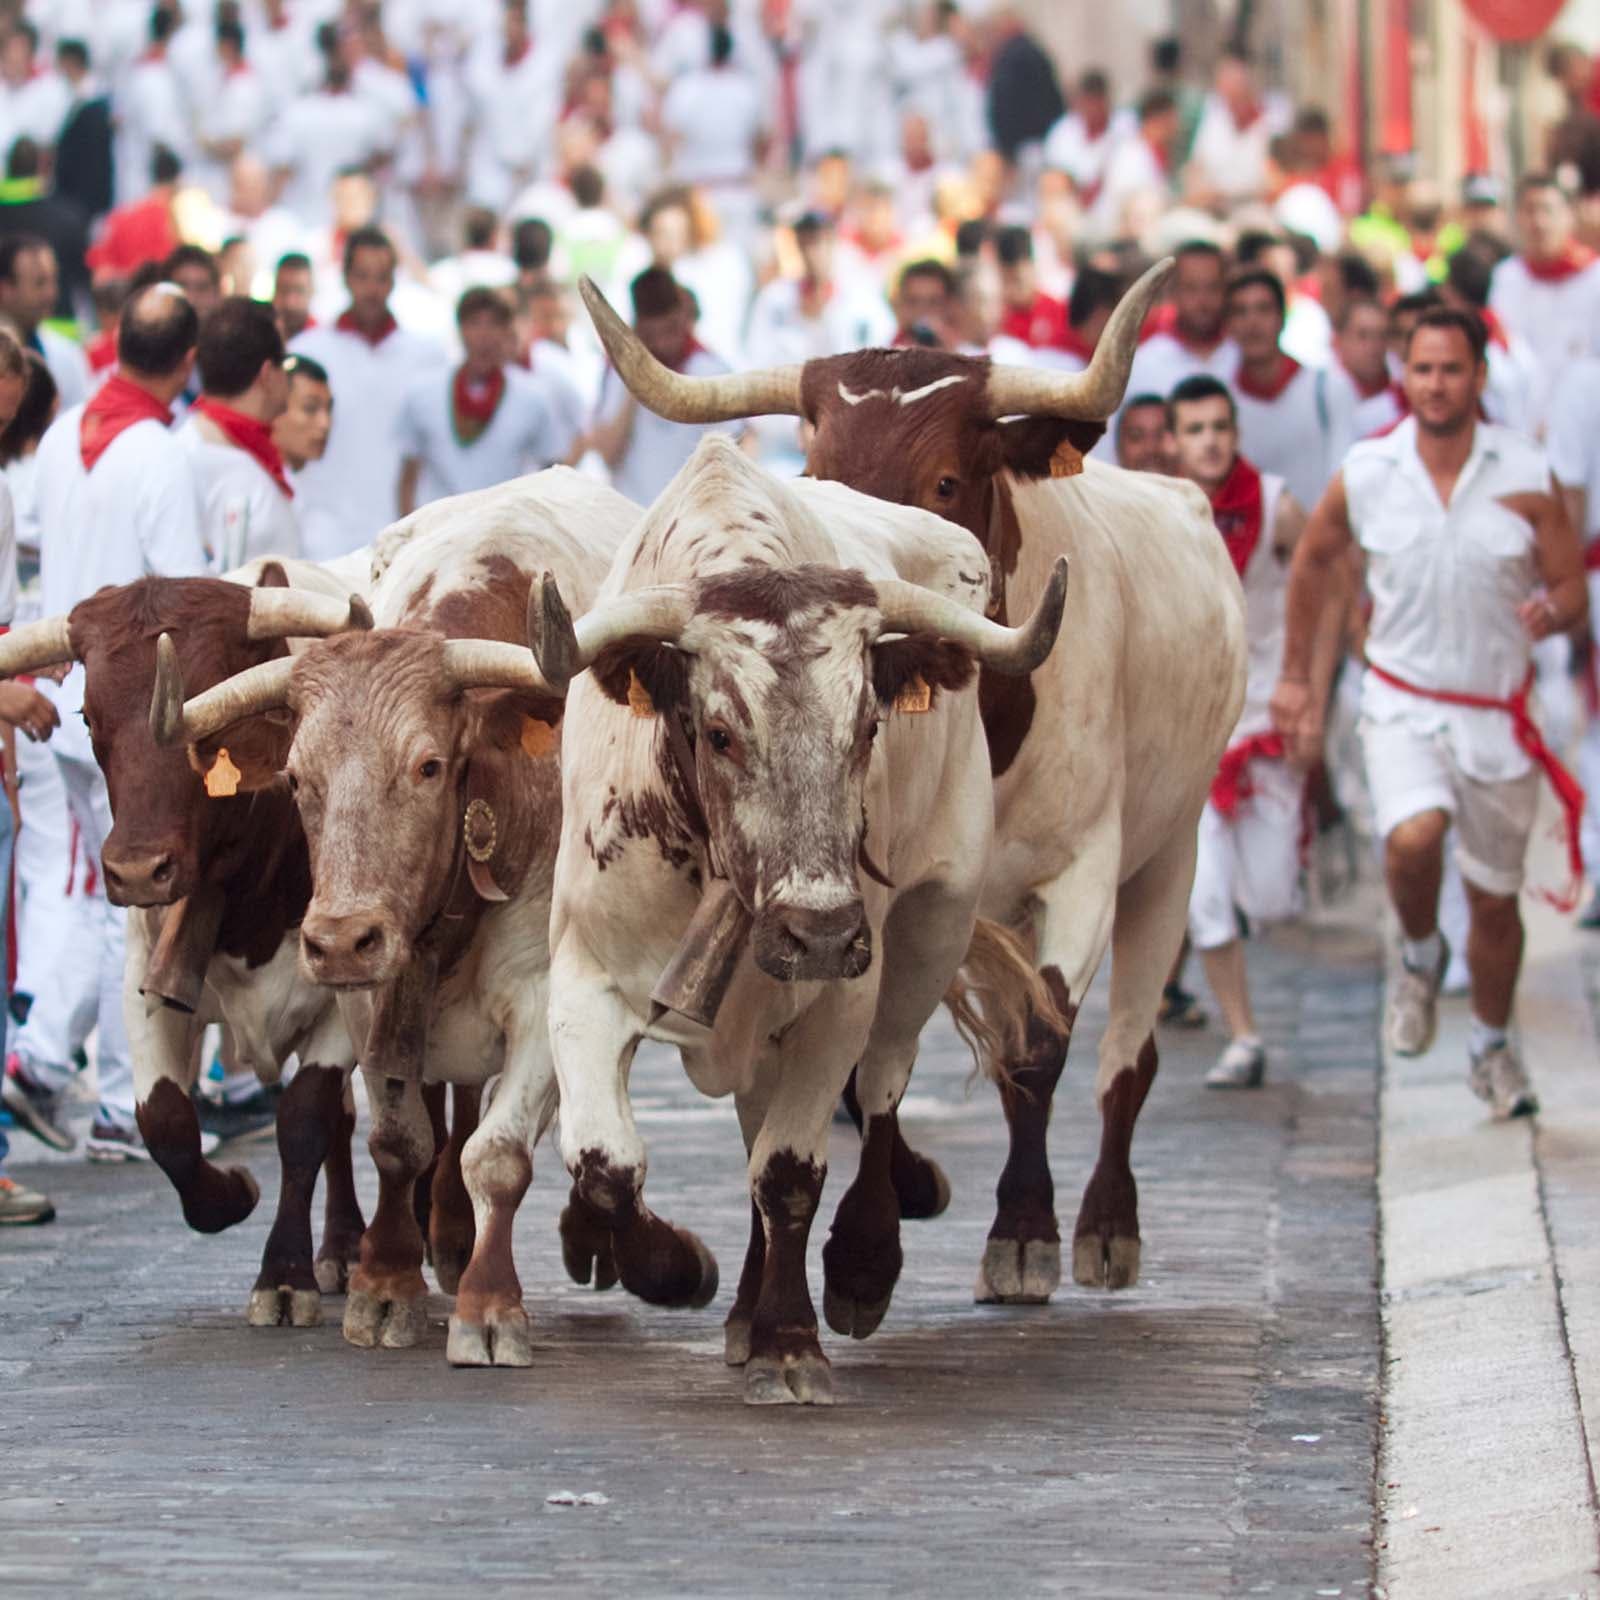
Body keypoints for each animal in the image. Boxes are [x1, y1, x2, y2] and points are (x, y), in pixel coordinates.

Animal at [0, 564, 374, 1328]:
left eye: (216, 722)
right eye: (88, 716)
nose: (138, 869)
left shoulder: (341, 995)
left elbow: (304, 1119)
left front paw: (283, 1274)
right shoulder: (146, 981)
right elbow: (165, 1121)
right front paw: (230, 1193)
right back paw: (345, 1244)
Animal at [152, 471, 645, 1363]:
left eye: (428, 766)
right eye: (297, 777)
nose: (340, 939)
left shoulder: (543, 1000)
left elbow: (499, 1155)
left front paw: (489, 1305)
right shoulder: (364, 1001)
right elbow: (397, 1138)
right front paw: (384, 1284)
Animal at [523, 436, 1067, 1403]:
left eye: (867, 728)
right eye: (720, 733)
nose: (817, 933)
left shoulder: (838, 1001)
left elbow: (788, 1173)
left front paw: (788, 1339)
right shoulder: (584, 982)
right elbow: (606, 1163)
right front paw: (675, 1270)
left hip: (931, 927)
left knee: (880, 1090)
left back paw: (859, 1267)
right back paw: (739, 1307)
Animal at [579, 261, 1247, 1305]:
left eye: (945, 481)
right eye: (814, 475)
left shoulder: (1082, 873)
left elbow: (1038, 1046)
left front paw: (1021, 1234)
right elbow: (866, 1071)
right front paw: (906, 1196)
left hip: (1167, 859)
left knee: (1124, 1053)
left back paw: (1106, 1220)